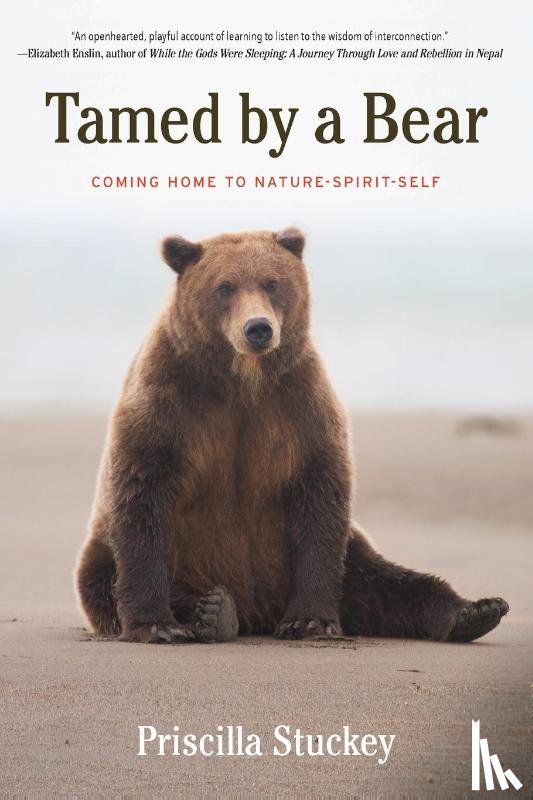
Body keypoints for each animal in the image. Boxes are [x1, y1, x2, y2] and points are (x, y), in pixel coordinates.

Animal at [76, 227, 509, 644]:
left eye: (272, 282)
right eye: (225, 286)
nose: (258, 328)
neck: (242, 382)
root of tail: (259, 612)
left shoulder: (299, 406)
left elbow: (319, 496)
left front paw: (310, 621)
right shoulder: (169, 402)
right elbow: (143, 493)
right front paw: (157, 626)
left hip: (340, 560)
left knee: (385, 580)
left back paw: (475, 611)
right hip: (133, 557)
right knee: (105, 579)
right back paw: (214, 612)